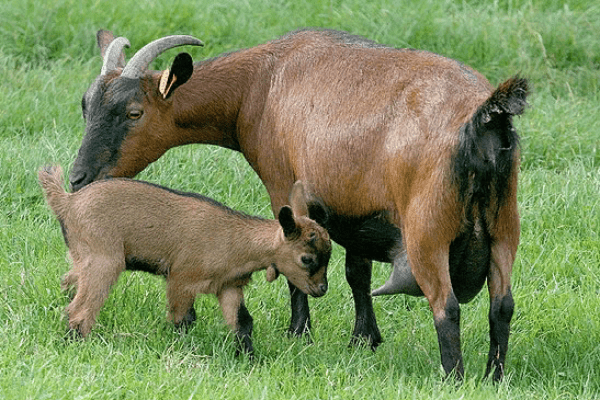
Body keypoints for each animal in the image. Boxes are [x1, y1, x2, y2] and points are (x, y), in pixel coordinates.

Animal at [37, 164, 330, 354]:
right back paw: (76, 344)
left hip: (82, 255)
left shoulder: (229, 286)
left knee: (70, 282)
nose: (321, 289)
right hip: (104, 259)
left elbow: (242, 322)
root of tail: (67, 202)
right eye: (306, 259)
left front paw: (248, 357)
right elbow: (183, 319)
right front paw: (181, 348)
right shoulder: (182, 279)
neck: (235, 239)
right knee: (80, 309)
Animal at [71, 28, 528, 382]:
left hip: (427, 230)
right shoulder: (354, 209)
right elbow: (357, 273)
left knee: (446, 306)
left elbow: (293, 256)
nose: (79, 178)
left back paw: (454, 378)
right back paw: (495, 377)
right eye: (85, 105)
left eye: (134, 112)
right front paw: (363, 339)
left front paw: (299, 333)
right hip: (505, 227)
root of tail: (485, 119)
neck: (261, 83)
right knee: (501, 305)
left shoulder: (283, 183)